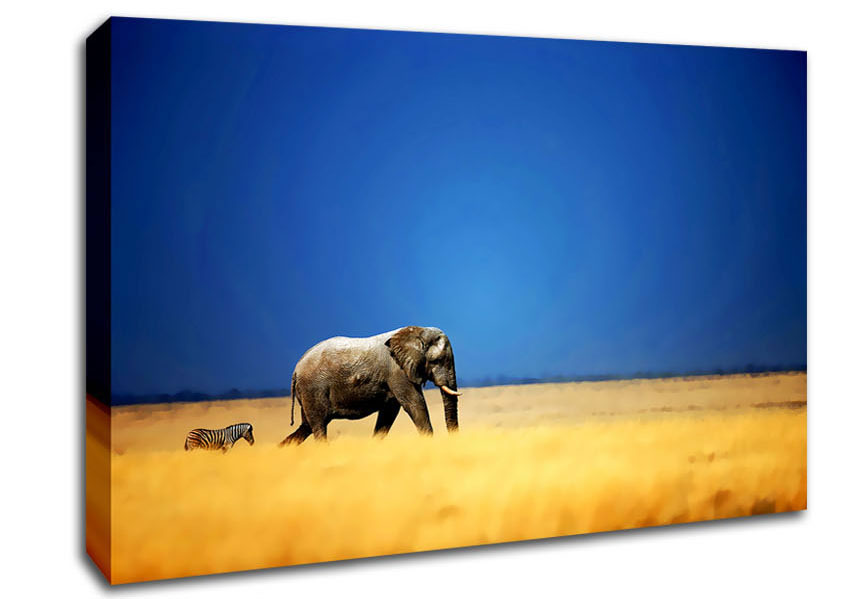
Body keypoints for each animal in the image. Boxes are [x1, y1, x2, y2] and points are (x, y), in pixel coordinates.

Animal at [280, 326, 461, 445]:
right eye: (437, 361)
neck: (417, 331)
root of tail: (296, 370)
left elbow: (389, 413)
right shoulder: (397, 371)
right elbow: (414, 404)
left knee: (306, 427)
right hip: (312, 389)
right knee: (318, 427)